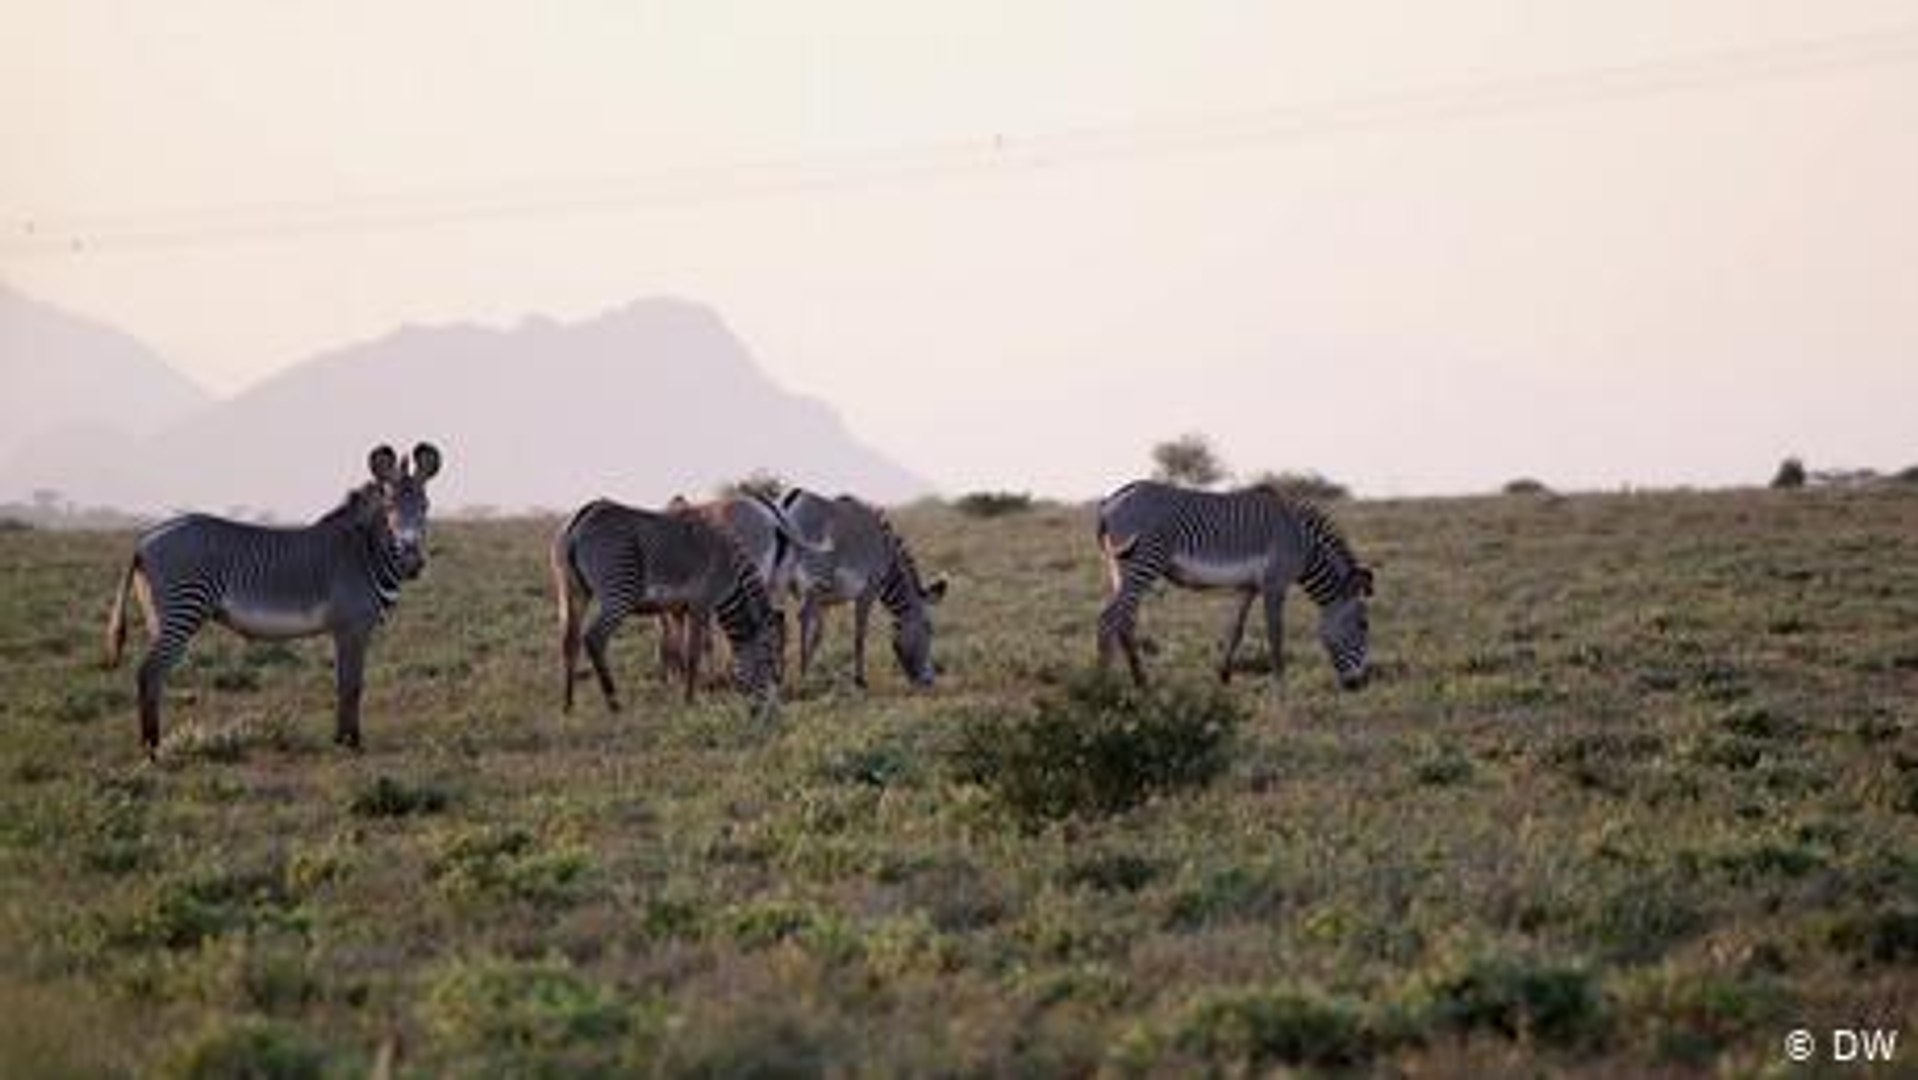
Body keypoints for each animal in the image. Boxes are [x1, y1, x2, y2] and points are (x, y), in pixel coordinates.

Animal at [103, 443, 443, 756]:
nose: (412, 563)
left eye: (425, 507)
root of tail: (144, 540)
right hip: (183, 608)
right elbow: (351, 685)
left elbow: (343, 682)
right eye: (389, 507)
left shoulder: (344, 629)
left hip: (159, 616)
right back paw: (152, 748)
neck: (364, 552)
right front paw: (351, 742)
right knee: (149, 673)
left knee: (154, 675)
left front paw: (341, 738)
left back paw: (152, 743)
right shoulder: (352, 626)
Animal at [550, 498, 781, 715]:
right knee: (594, 638)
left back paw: (567, 706)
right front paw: (689, 701)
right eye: (767, 661)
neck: (730, 574)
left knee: (569, 642)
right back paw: (614, 705)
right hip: (620, 586)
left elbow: (677, 651)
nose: (767, 712)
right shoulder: (701, 603)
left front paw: (676, 691)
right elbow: (692, 653)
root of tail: (582, 517)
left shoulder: (677, 608)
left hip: (571, 589)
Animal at [780, 488, 948, 688]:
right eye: (929, 628)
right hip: (814, 578)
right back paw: (801, 675)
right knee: (803, 616)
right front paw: (859, 680)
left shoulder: (825, 599)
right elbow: (860, 634)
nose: (928, 681)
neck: (887, 557)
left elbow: (818, 635)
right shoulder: (867, 591)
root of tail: (793, 497)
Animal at [1096, 479, 1375, 690]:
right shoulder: (1275, 583)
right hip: (1146, 559)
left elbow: (1236, 629)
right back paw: (1101, 686)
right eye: (1363, 625)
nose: (1360, 685)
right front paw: (1281, 687)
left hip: (1122, 566)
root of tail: (1111, 501)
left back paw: (1141, 683)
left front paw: (1224, 676)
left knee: (1124, 620)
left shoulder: (1249, 586)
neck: (1303, 546)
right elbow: (1275, 634)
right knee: (1108, 618)